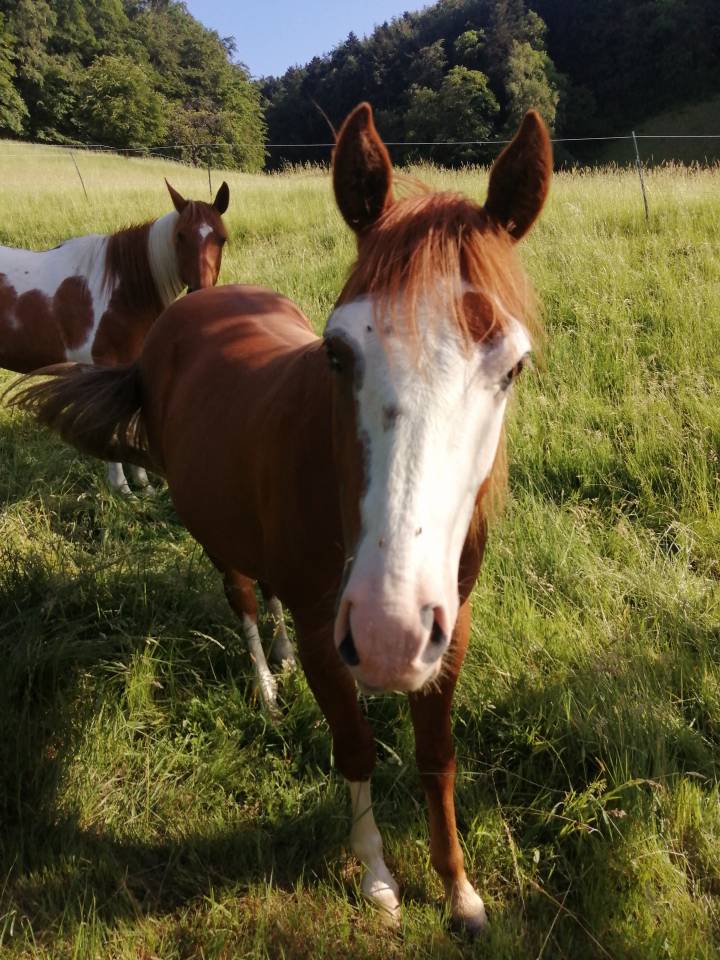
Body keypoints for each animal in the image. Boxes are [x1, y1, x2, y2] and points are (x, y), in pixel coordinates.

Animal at [0, 178, 230, 494]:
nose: (201, 293)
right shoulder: (100, 369)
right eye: (180, 236)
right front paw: (122, 488)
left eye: (221, 238)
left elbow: (130, 423)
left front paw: (143, 484)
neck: (121, 291)